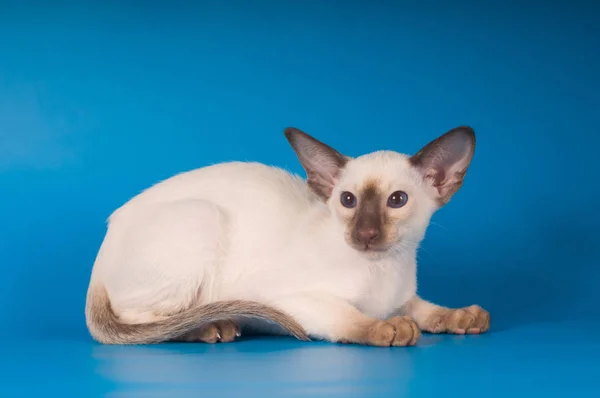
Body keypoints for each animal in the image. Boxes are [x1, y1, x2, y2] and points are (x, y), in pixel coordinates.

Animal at [84, 126, 490, 346]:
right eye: (348, 200)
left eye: (397, 200)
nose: (365, 234)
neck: (383, 270)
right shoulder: (288, 298)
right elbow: (349, 317)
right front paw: (388, 329)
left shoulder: (403, 296)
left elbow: (425, 308)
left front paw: (461, 317)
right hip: (203, 219)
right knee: (146, 323)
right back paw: (211, 326)